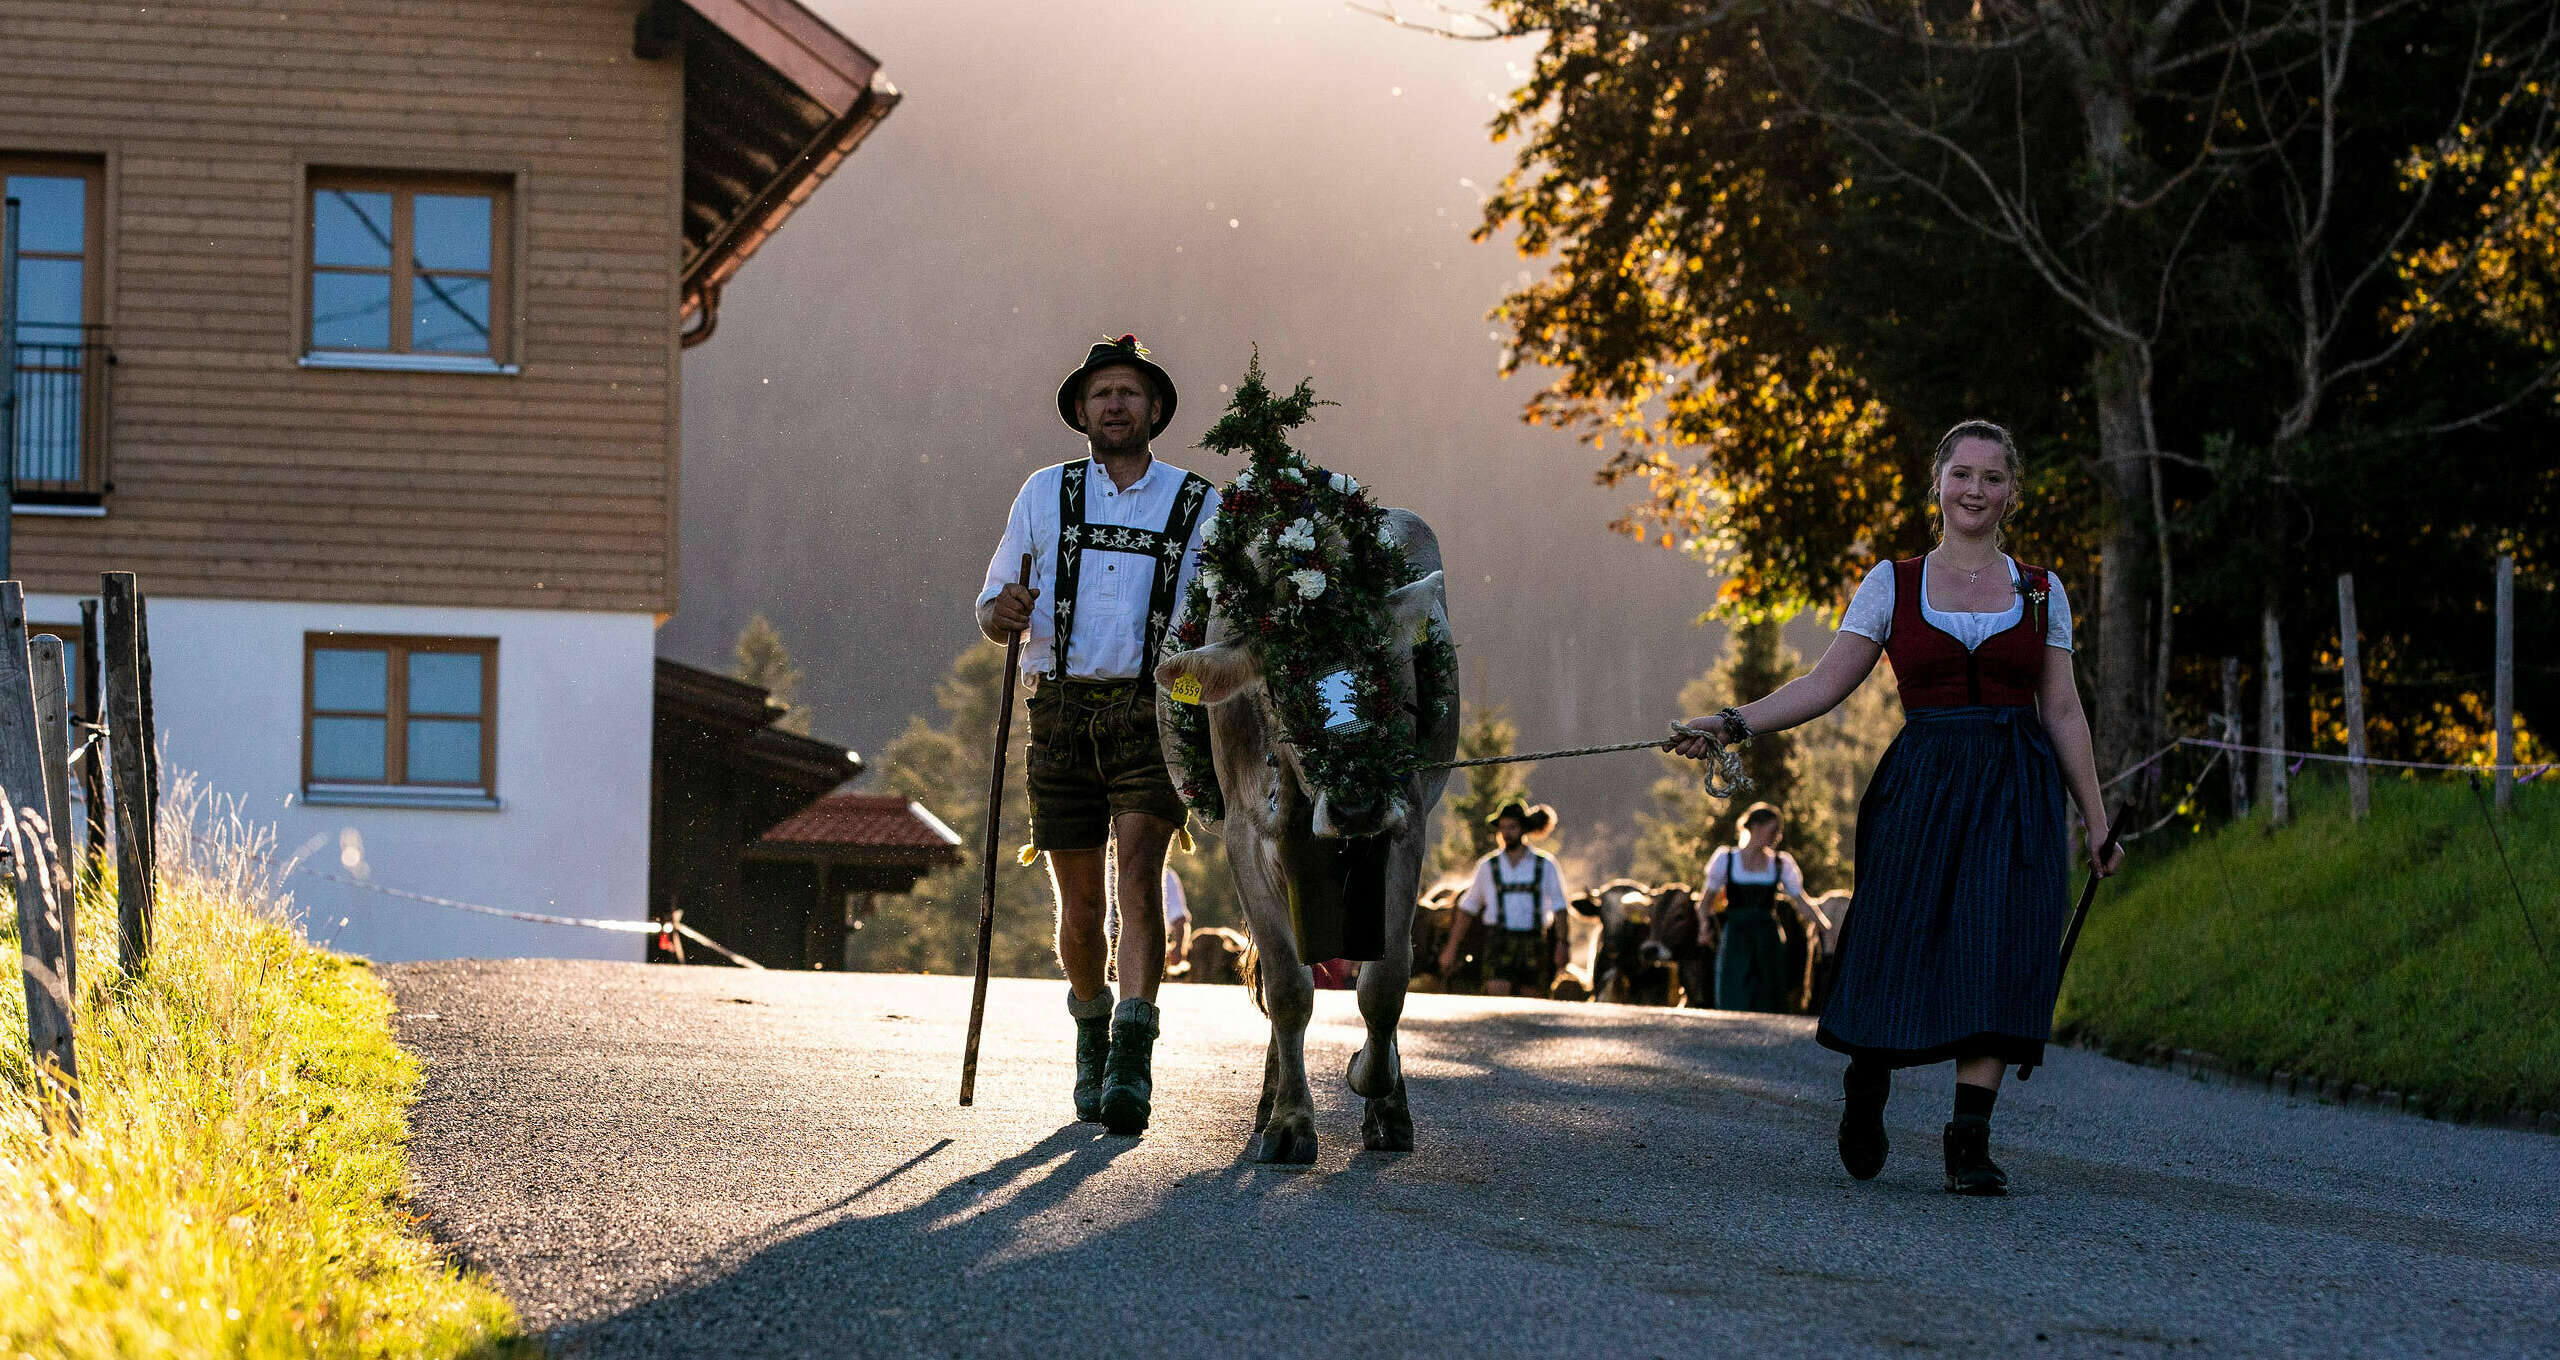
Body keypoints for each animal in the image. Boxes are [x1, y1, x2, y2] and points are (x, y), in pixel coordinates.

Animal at [1162, 361, 1464, 1173]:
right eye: (1280, 687)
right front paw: (1293, 1123)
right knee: (1278, 985)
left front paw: (1380, 1094)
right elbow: (1290, 985)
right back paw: (1270, 1103)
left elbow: (1386, 979)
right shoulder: (1247, 834)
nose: (1356, 801)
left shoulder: (1406, 823)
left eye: (1387, 672)